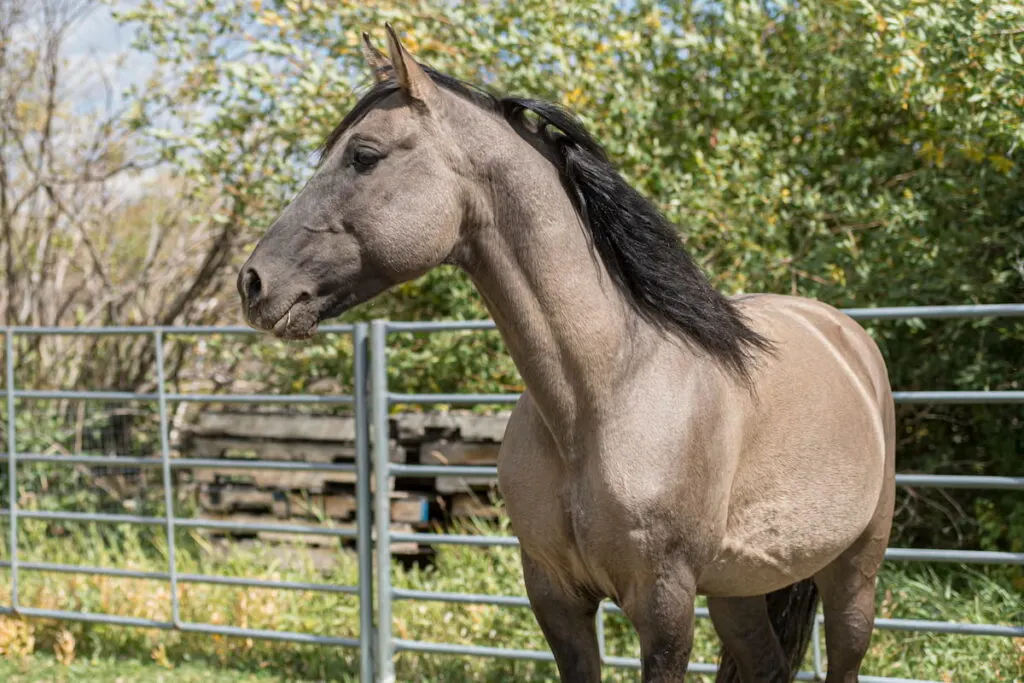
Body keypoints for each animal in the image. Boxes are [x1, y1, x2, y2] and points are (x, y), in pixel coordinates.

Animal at [235, 25, 892, 683]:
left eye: (364, 155)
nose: (252, 283)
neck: (602, 396)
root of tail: (843, 334)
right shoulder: (556, 599)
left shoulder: (666, 608)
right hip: (739, 588)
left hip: (853, 573)